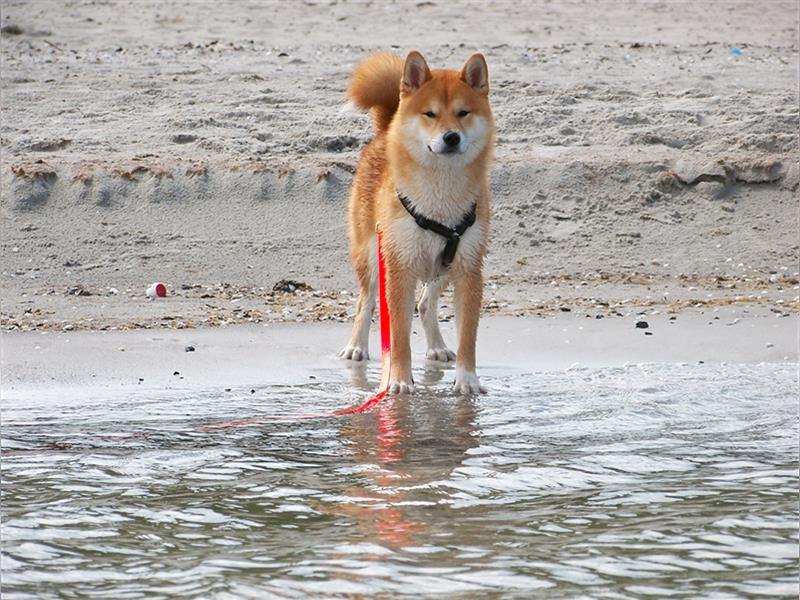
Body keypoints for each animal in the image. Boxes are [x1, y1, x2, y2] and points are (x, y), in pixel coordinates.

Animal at [338, 50, 494, 394]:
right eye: (430, 114)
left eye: (463, 113)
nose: (451, 137)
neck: (440, 197)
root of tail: (384, 131)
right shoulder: (399, 267)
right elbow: (398, 336)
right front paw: (398, 380)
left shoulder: (468, 269)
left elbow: (468, 337)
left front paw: (467, 380)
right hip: (371, 256)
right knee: (365, 302)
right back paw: (356, 347)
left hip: (444, 267)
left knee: (425, 304)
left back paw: (436, 346)